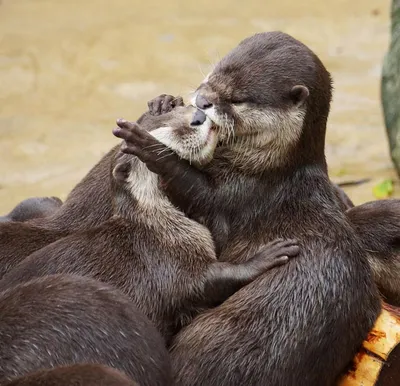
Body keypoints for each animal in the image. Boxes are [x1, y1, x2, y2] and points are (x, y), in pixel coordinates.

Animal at [113, 32, 382, 386]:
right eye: (215, 70)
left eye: (238, 99)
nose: (203, 100)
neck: (266, 169)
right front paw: (161, 103)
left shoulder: (241, 197)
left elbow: (197, 193)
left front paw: (151, 148)